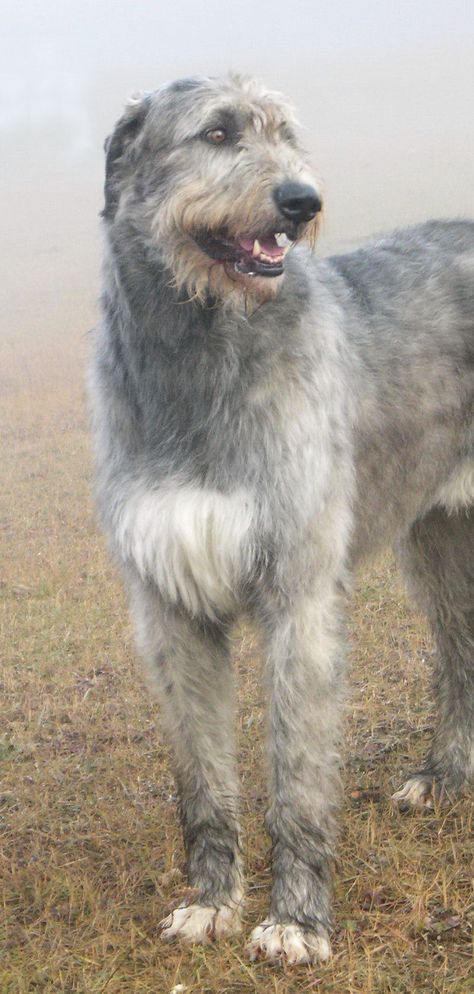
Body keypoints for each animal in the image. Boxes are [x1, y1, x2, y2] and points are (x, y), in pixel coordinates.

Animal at [91, 75, 474, 960]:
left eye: (285, 132)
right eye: (217, 132)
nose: (303, 201)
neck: (202, 348)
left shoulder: (300, 597)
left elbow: (296, 779)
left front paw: (296, 920)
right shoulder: (168, 610)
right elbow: (200, 779)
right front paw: (212, 901)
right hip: (437, 542)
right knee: (459, 654)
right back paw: (442, 778)